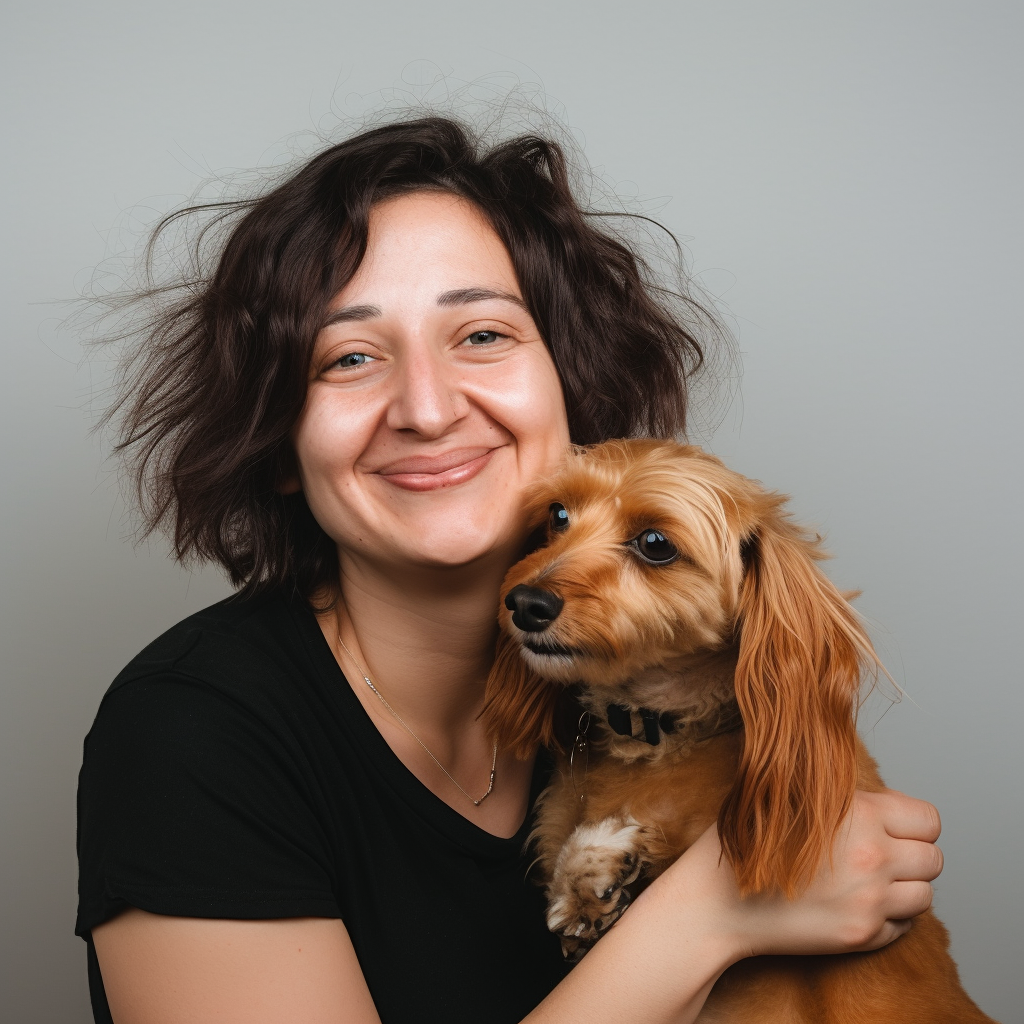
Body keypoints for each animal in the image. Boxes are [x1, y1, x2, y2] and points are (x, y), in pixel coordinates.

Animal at [483, 440, 995, 1024]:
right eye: (558, 515)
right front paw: (592, 880)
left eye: (655, 544)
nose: (525, 602)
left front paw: (606, 856)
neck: (656, 733)